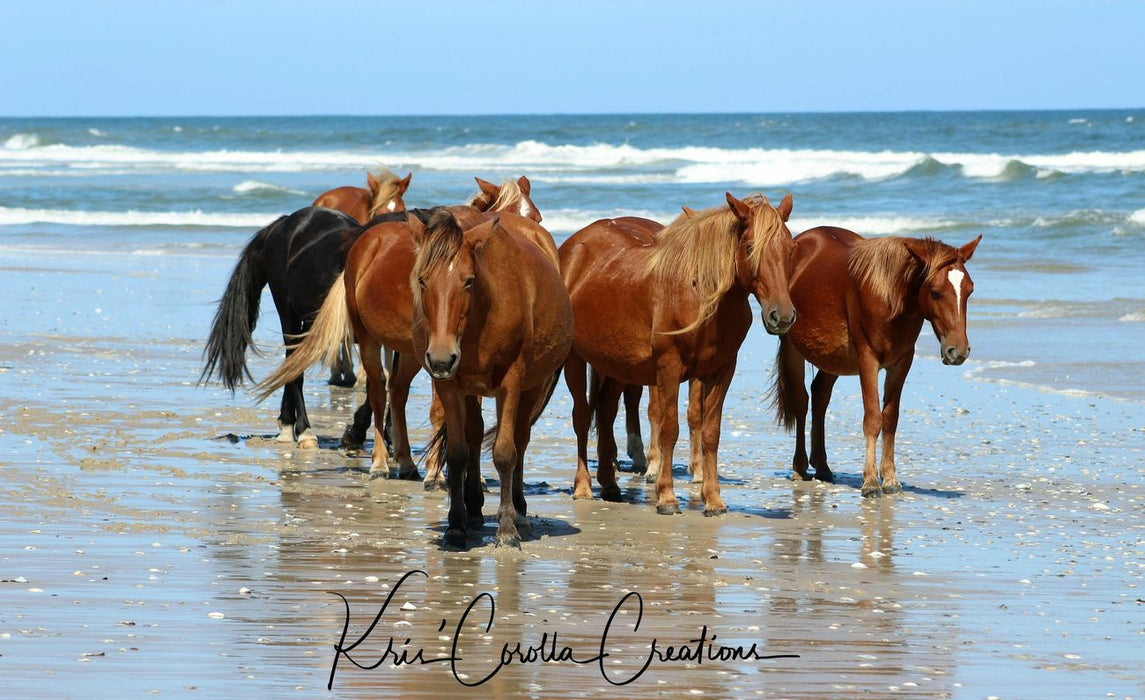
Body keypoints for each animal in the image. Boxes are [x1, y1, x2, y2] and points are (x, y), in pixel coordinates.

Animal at [412, 210, 572, 549]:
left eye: (469, 281)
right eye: (422, 280)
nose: (442, 358)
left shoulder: (510, 385)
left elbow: (505, 453)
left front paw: (507, 529)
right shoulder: (449, 386)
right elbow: (457, 453)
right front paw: (456, 527)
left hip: (531, 386)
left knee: (521, 440)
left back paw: (520, 511)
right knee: (474, 434)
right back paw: (473, 510)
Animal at [561, 191, 796, 515]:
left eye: (790, 249)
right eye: (750, 248)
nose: (781, 316)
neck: (699, 296)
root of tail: (572, 248)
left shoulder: (721, 372)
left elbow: (710, 433)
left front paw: (713, 499)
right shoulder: (668, 368)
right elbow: (668, 430)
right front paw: (667, 497)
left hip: (615, 365)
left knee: (606, 412)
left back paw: (609, 485)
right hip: (575, 359)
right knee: (583, 416)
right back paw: (583, 486)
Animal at [774, 226, 980, 494]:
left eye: (970, 290)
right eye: (935, 292)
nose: (959, 351)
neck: (887, 295)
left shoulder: (901, 364)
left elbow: (890, 419)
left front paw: (890, 478)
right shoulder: (868, 361)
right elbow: (873, 418)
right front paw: (871, 481)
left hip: (831, 359)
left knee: (820, 397)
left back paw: (822, 466)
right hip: (793, 349)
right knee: (801, 401)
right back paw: (800, 467)